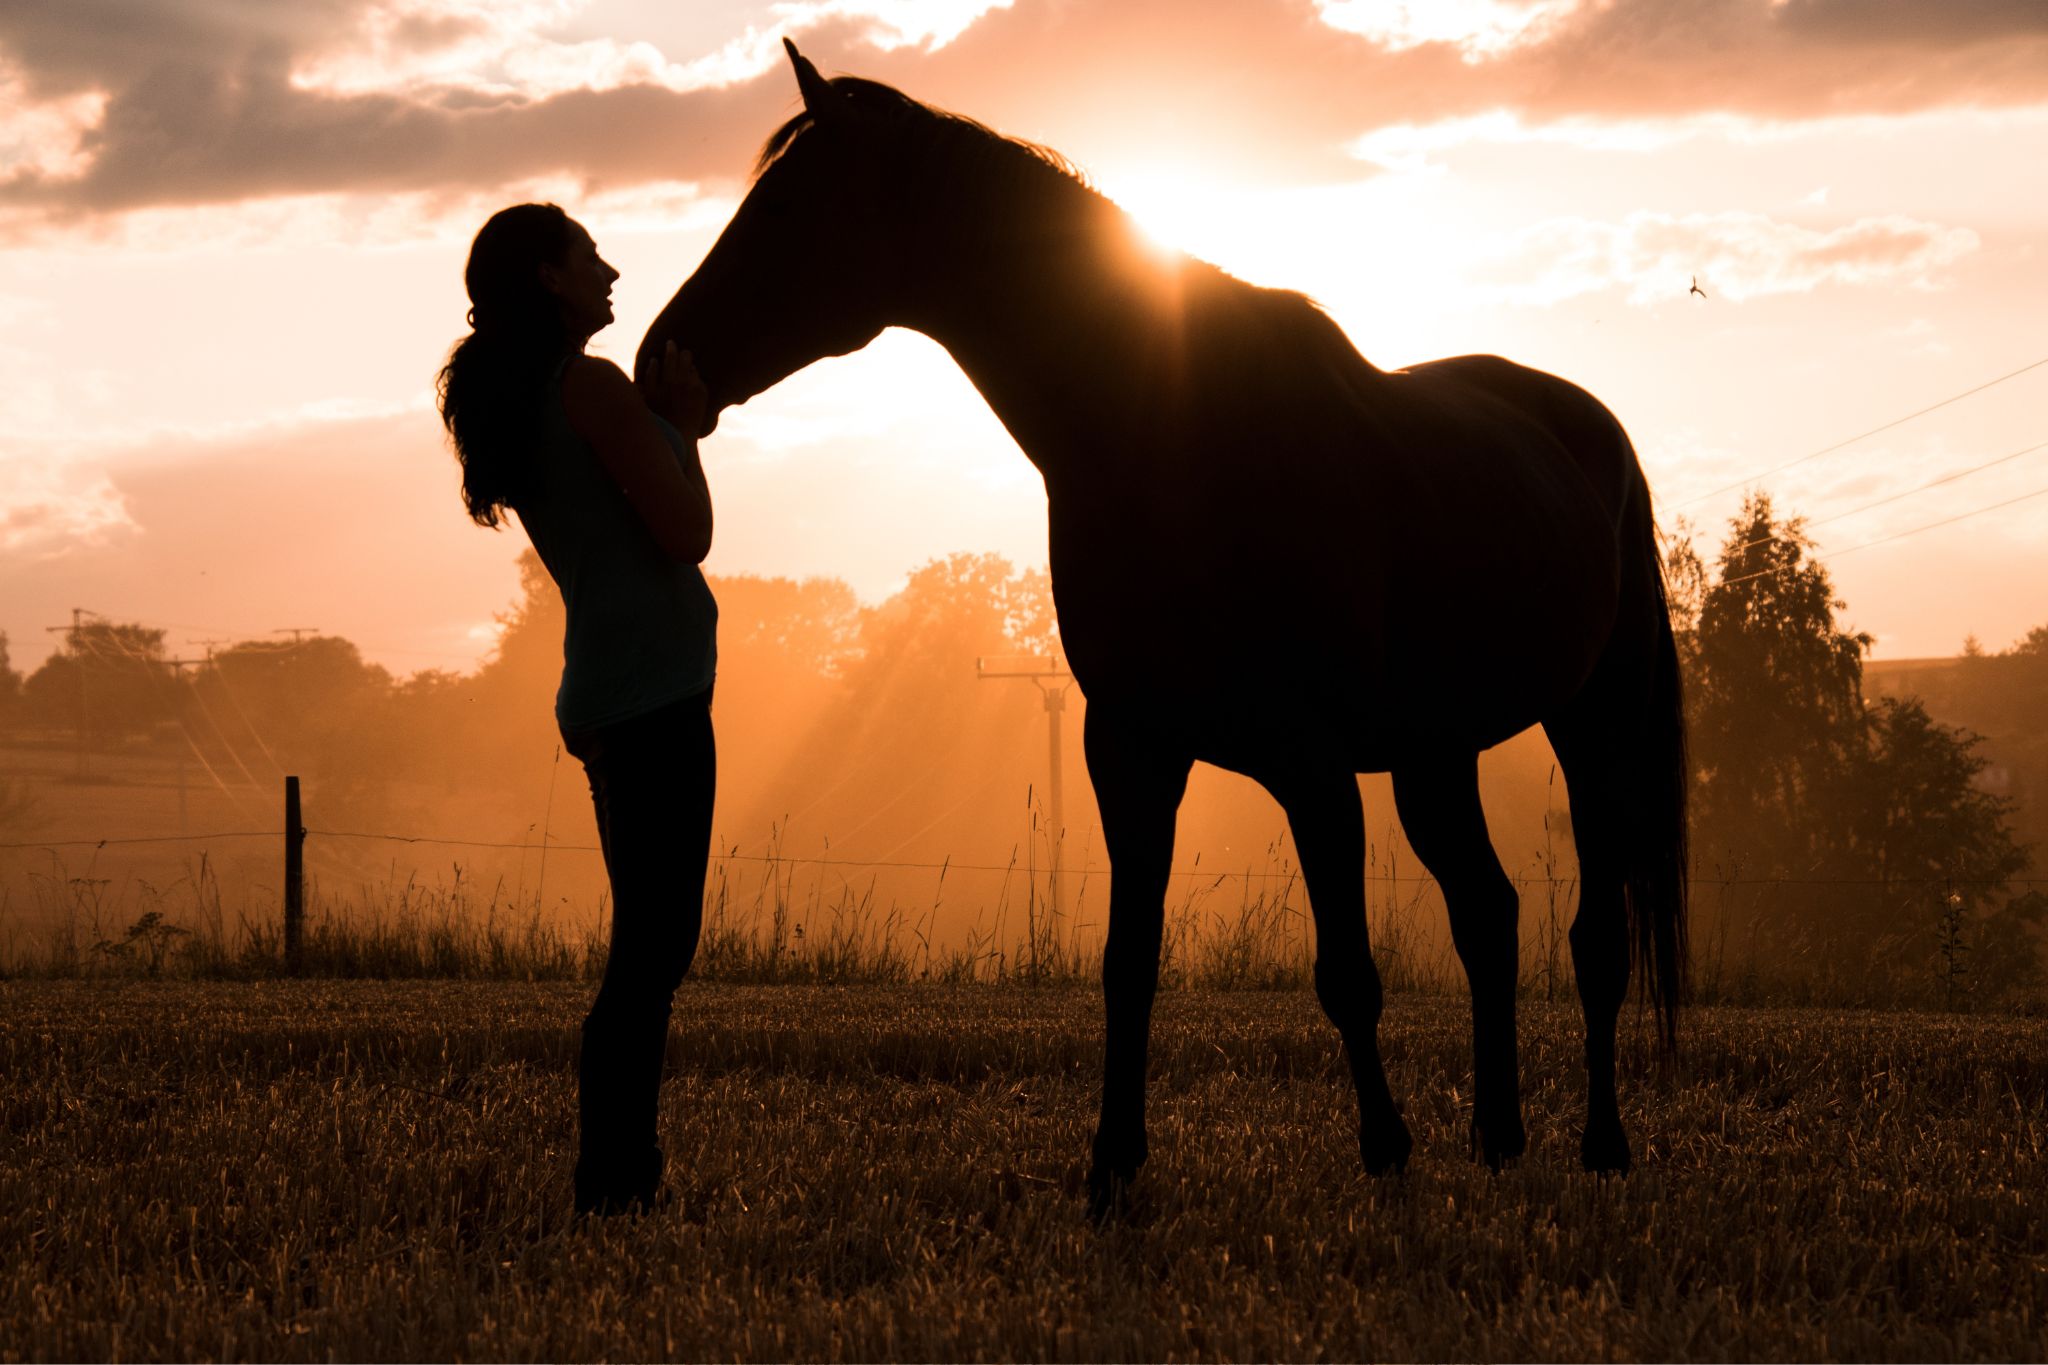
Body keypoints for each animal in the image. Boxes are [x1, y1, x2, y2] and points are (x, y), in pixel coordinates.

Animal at [641, 42, 1688, 1211]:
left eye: (789, 208)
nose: (657, 358)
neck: (1174, 437)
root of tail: (1585, 427)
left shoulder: (1310, 762)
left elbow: (1347, 971)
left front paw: (1383, 1149)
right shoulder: (1129, 747)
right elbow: (1126, 964)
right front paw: (1111, 1166)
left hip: (1594, 729)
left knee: (1593, 937)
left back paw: (1601, 1143)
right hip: (1435, 755)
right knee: (1489, 916)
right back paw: (1498, 1135)